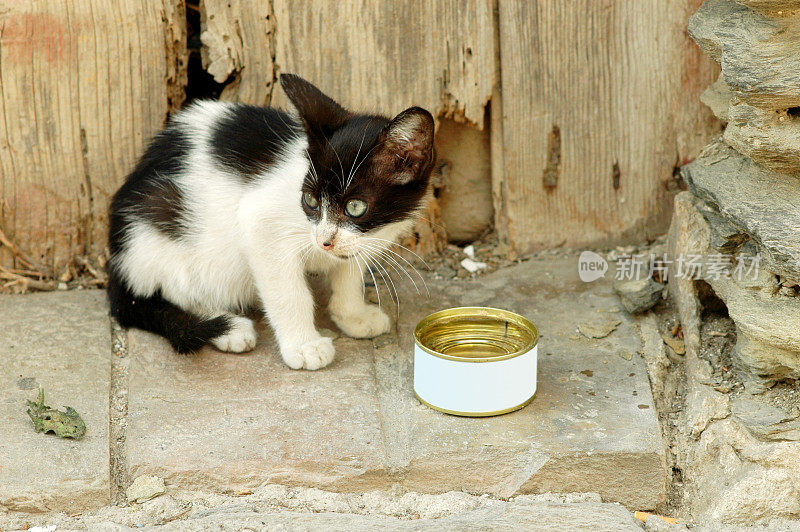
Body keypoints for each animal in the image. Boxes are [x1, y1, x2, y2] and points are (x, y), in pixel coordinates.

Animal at [107, 72, 434, 368]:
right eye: (310, 201)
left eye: (355, 207)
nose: (324, 242)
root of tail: (118, 259)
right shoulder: (260, 221)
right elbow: (287, 291)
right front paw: (304, 346)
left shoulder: (363, 238)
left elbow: (350, 270)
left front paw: (352, 314)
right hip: (162, 224)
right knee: (173, 289)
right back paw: (226, 326)